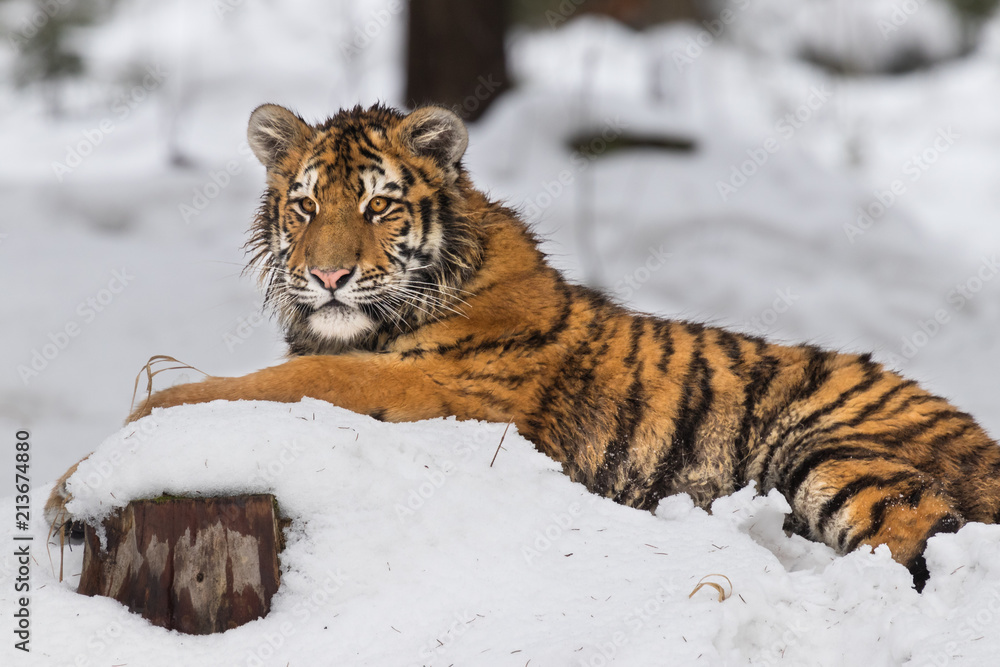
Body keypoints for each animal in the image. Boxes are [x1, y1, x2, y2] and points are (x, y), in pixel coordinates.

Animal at [46, 102, 1000, 591]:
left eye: (379, 205)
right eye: (307, 204)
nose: (327, 275)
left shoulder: (440, 391)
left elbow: (234, 386)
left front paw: (72, 484)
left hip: (835, 455)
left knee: (926, 544)